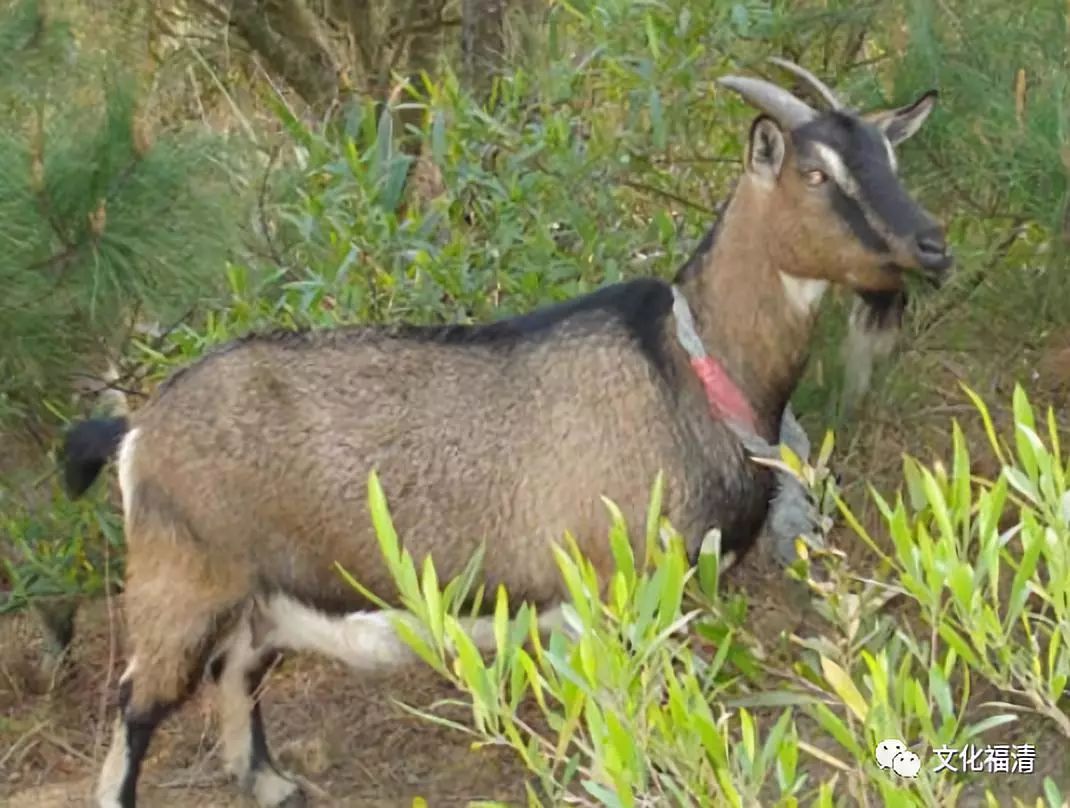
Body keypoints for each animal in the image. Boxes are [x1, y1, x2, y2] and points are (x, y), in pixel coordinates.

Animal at [60, 58, 945, 808]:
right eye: (816, 172)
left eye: (891, 160)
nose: (931, 244)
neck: (687, 366)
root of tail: (138, 427)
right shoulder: (609, 589)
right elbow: (627, 723)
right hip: (182, 578)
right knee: (139, 702)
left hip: (260, 591)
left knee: (237, 671)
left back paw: (274, 784)